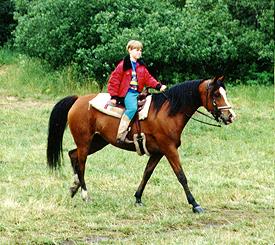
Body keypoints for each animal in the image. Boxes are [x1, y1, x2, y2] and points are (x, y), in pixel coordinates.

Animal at [47, 76, 237, 212]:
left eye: (225, 93)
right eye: (216, 95)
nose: (231, 116)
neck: (167, 112)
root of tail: (78, 99)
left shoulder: (158, 152)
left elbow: (147, 173)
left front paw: (138, 198)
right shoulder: (169, 149)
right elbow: (181, 176)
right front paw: (195, 204)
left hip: (98, 142)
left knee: (73, 155)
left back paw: (74, 187)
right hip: (85, 142)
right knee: (81, 164)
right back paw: (85, 194)